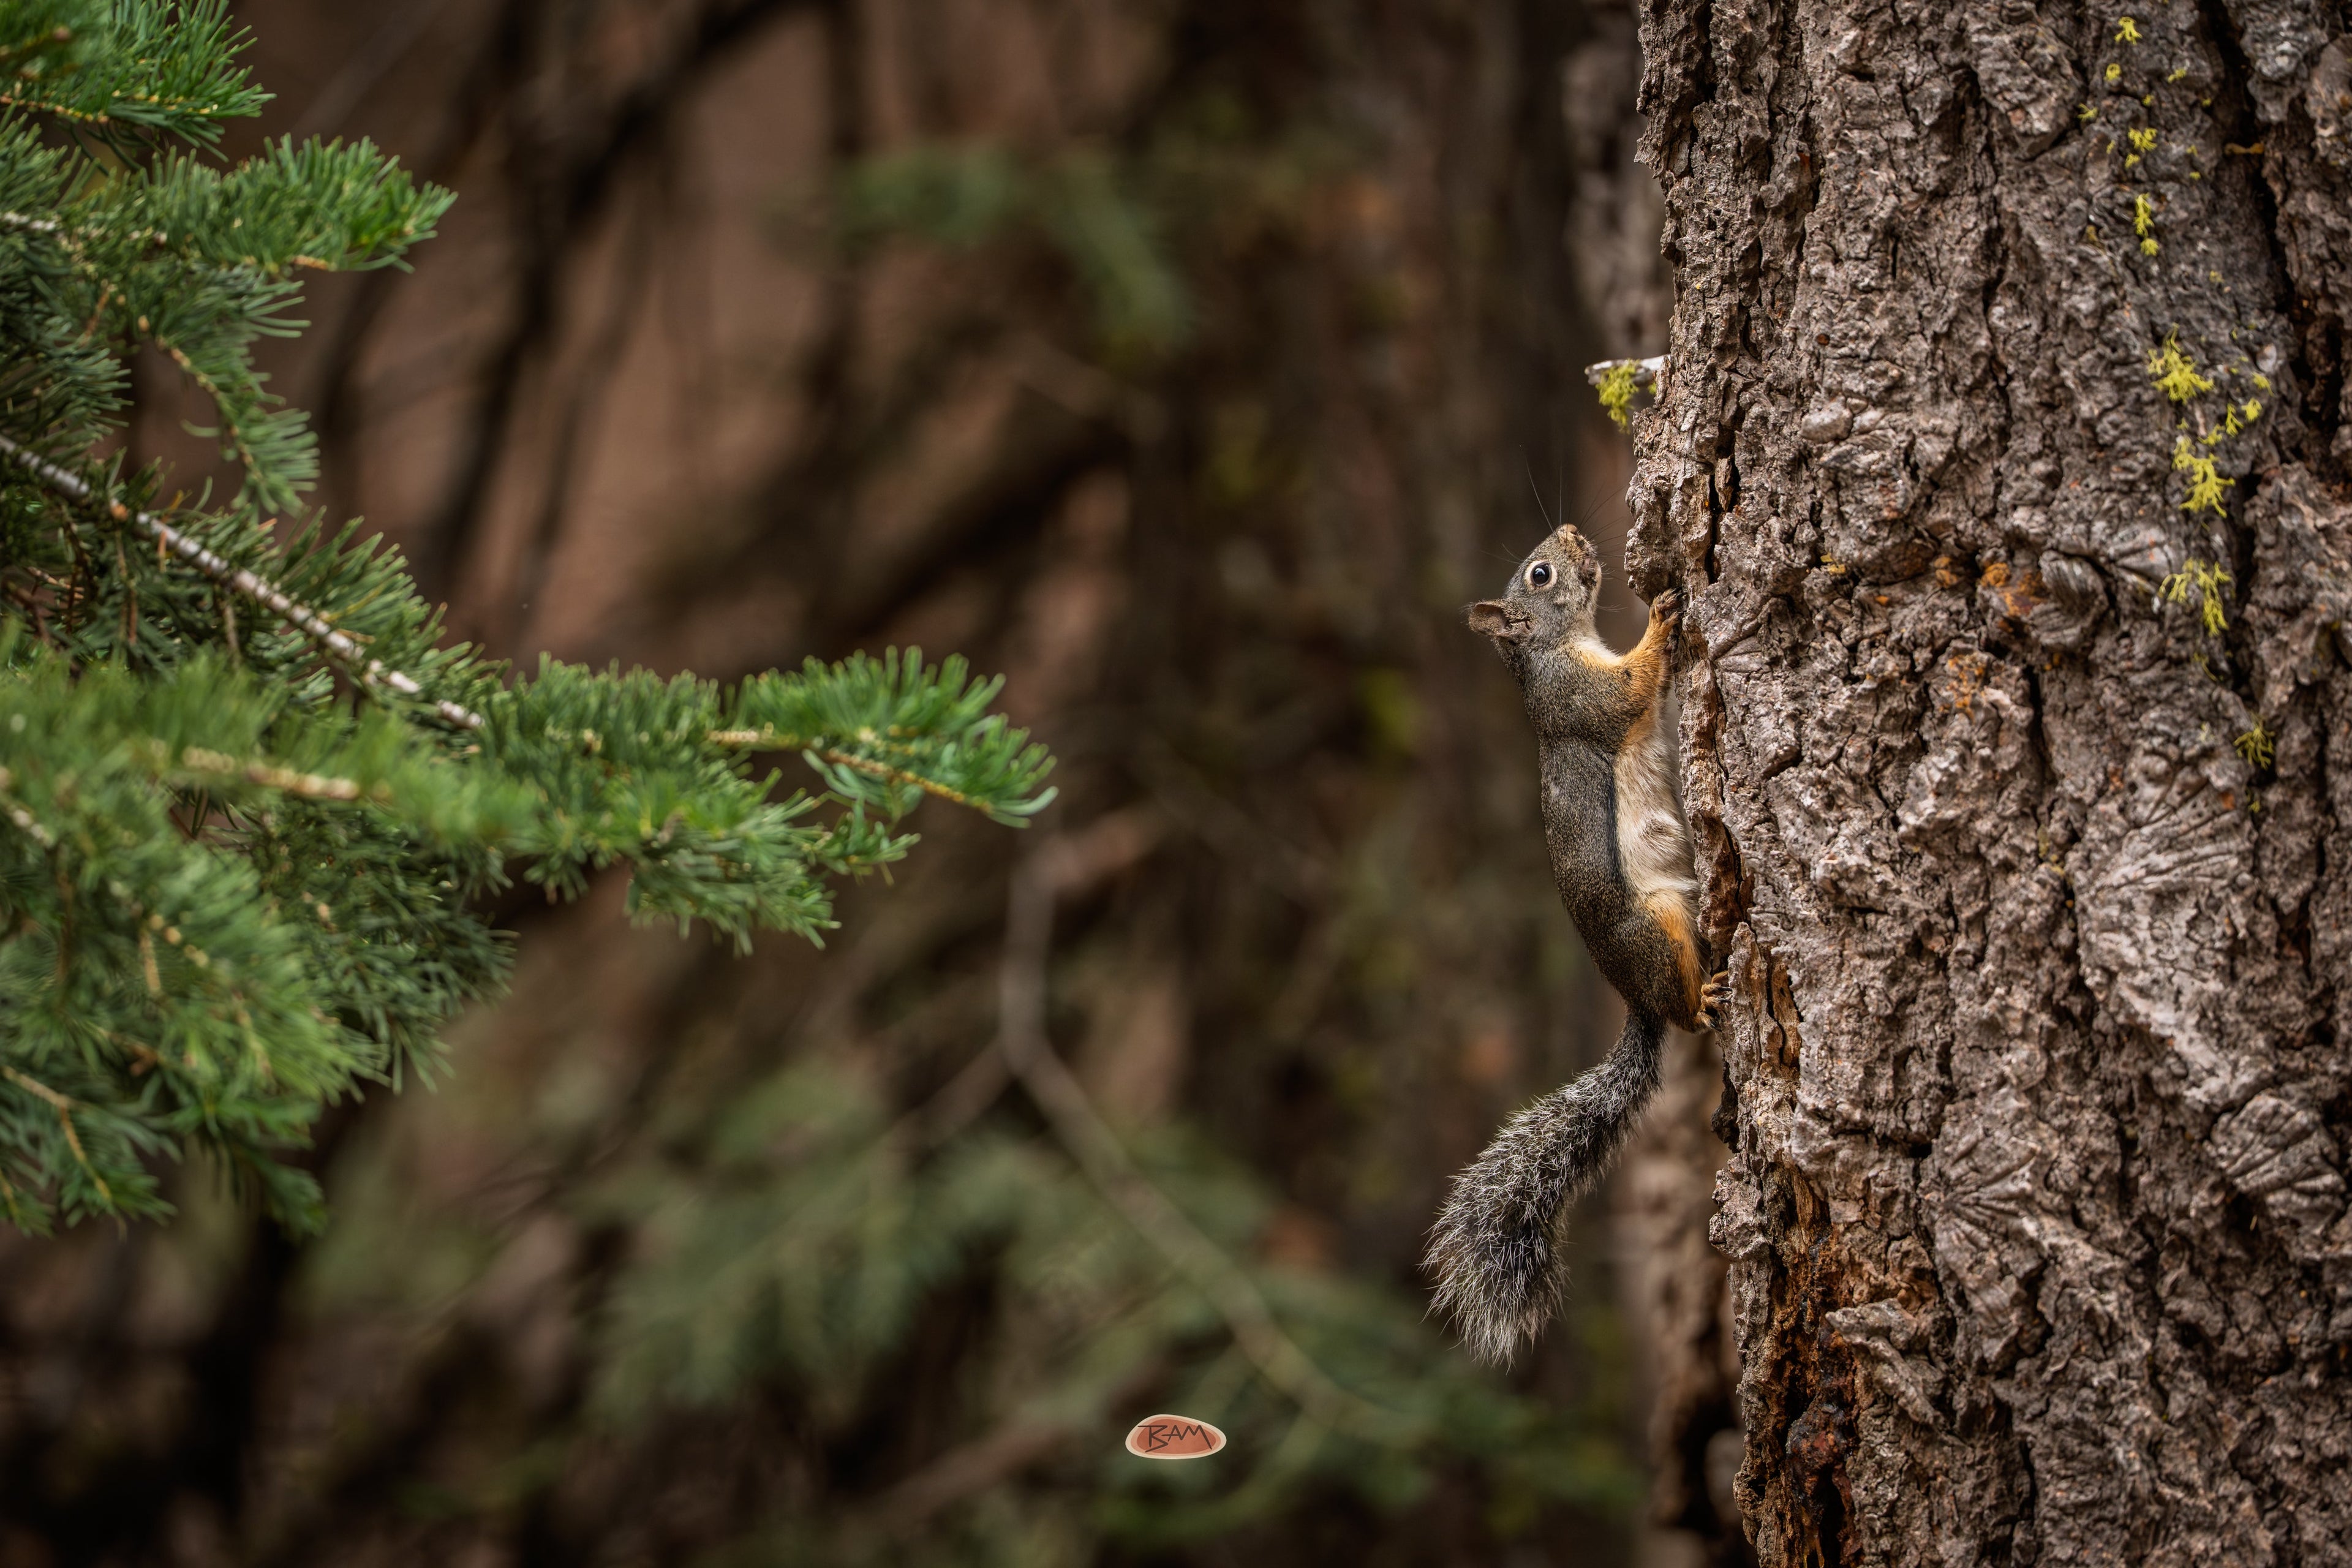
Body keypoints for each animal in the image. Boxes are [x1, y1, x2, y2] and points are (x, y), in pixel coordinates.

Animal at [1425, 520, 1727, 1366]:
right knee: (1682, 1009)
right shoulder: (1582, 696)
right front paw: (1662, 615)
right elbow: (1631, 686)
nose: (1571, 532)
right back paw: (1705, 998)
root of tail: (1639, 1001)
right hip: (1658, 927)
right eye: (1540, 573)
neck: (1561, 645)